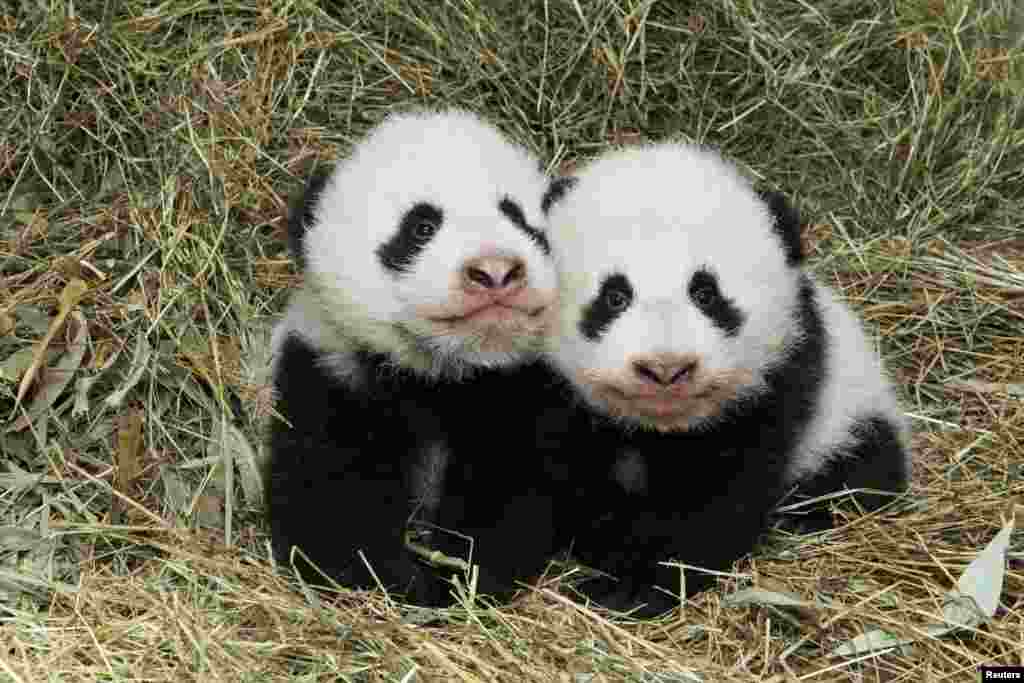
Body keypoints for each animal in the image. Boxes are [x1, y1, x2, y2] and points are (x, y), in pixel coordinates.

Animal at [265, 108, 570, 608]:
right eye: (421, 227)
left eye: (522, 221)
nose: (496, 271)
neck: (443, 373)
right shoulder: (331, 372)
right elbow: (331, 496)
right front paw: (396, 581)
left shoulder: (525, 393)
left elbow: (509, 490)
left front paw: (459, 577)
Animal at [541, 142, 912, 618]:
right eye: (614, 296)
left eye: (706, 294)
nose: (665, 368)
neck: (660, 429)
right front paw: (605, 552)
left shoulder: (776, 383)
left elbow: (719, 500)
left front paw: (640, 585)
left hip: (849, 417)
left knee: (862, 469)